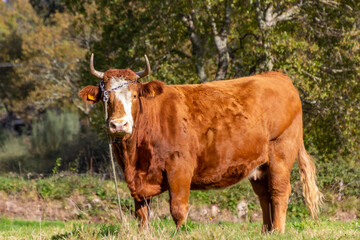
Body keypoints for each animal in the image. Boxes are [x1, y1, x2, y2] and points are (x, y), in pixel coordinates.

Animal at [79, 54, 324, 232]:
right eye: (106, 98)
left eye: (135, 95)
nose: (119, 125)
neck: (134, 157)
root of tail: (277, 76)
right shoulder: (137, 181)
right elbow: (142, 214)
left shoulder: (179, 168)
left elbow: (178, 209)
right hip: (258, 165)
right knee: (264, 195)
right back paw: (267, 231)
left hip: (280, 154)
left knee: (279, 191)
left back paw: (279, 231)